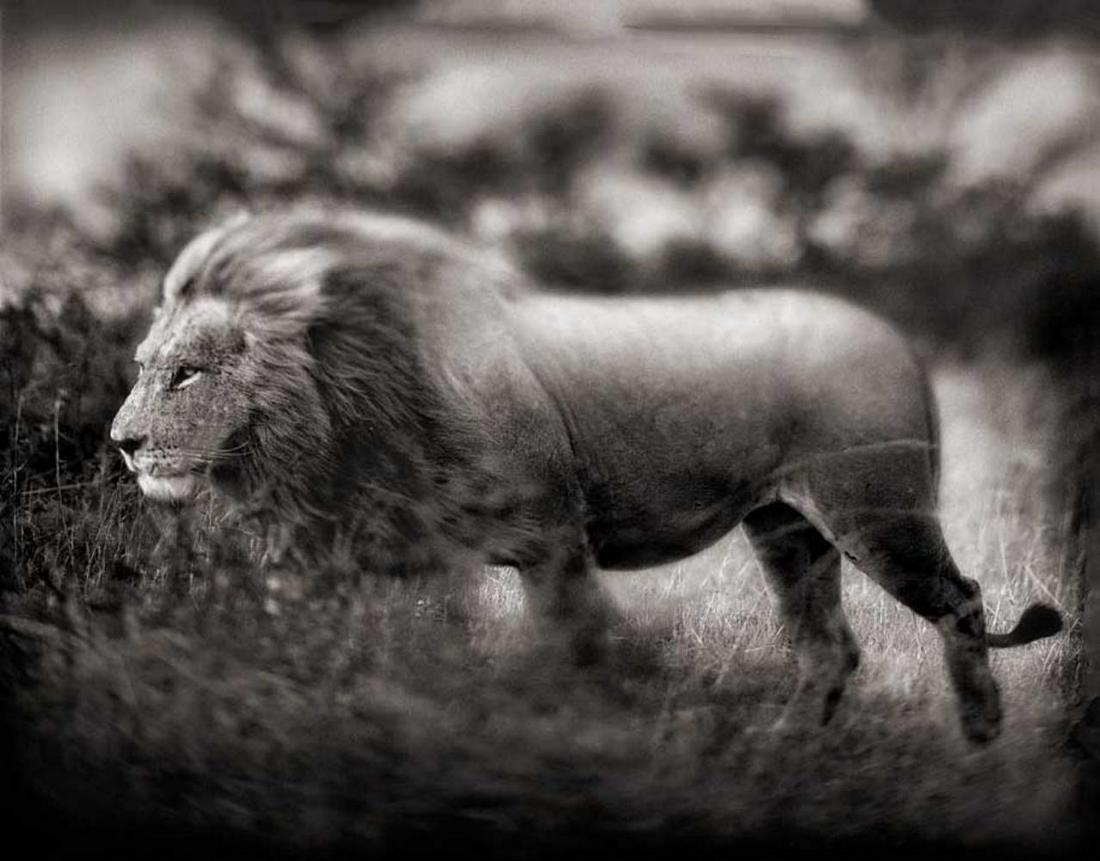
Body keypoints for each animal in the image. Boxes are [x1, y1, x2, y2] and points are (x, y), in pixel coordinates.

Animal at [111, 209, 1062, 743]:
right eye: (144, 365)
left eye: (186, 374)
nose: (120, 441)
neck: (340, 406)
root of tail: (894, 334)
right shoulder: (338, 555)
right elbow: (329, 652)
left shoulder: (549, 537)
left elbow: (575, 650)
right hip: (788, 531)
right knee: (829, 646)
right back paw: (784, 744)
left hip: (877, 512)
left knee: (963, 599)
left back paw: (981, 732)